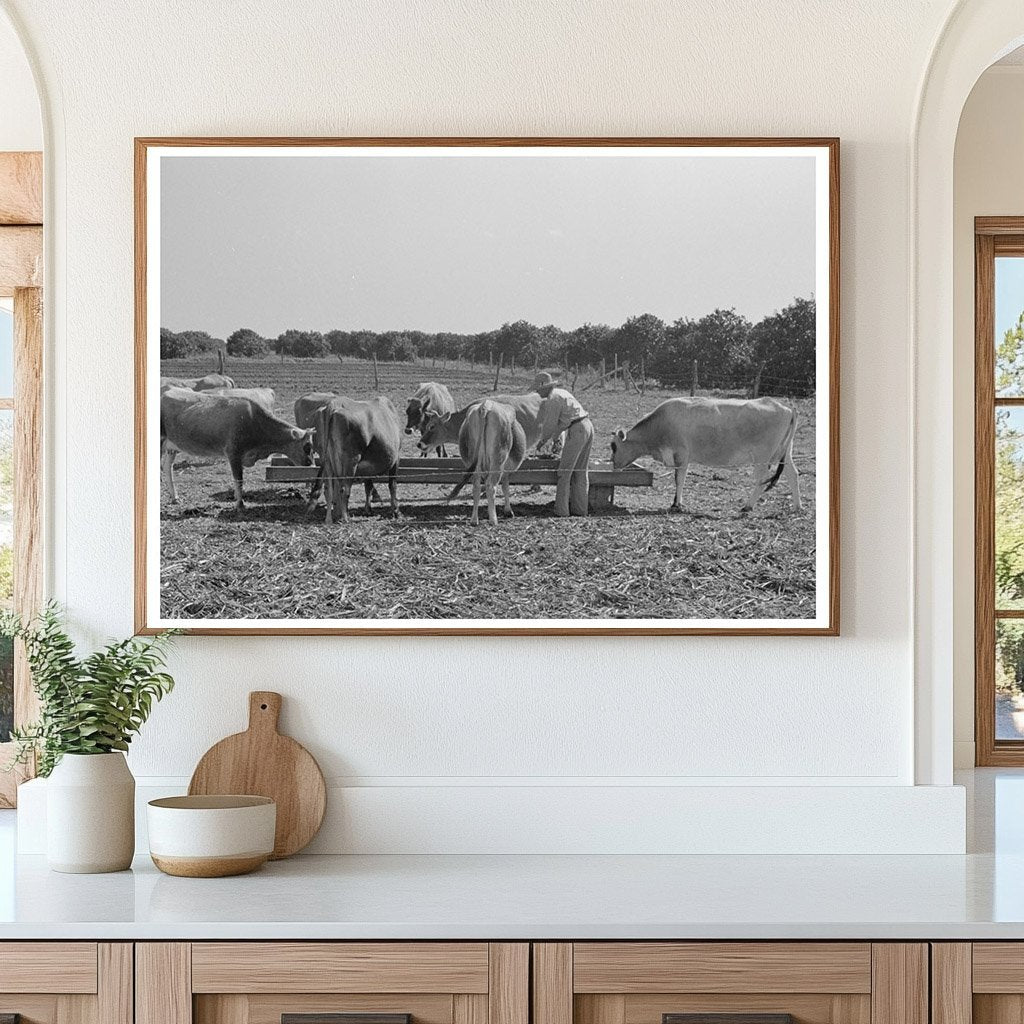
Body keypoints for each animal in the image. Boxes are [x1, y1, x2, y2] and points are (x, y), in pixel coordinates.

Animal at [157, 385, 311, 509]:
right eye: (306, 446)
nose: (310, 463)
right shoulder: (233, 453)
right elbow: (239, 479)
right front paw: (240, 504)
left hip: (172, 447)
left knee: (167, 467)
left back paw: (175, 498)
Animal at [317, 395, 401, 524]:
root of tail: (333, 405)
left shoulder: (368, 468)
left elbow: (368, 487)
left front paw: (368, 510)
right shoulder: (396, 460)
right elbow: (392, 485)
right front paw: (395, 511)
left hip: (327, 461)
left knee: (329, 490)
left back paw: (330, 518)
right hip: (351, 461)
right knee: (344, 489)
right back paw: (345, 518)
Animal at [450, 399, 528, 528]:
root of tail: (486, 405)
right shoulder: (506, 471)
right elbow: (505, 487)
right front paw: (508, 511)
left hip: (474, 462)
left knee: (476, 487)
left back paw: (474, 520)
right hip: (498, 460)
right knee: (491, 487)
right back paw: (493, 520)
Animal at [606, 397, 798, 516]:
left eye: (613, 446)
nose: (613, 464)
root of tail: (786, 408)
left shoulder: (682, 456)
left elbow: (679, 480)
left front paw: (677, 504)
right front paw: (676, 503)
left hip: (761, 457)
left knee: (761, 480)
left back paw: (747, 506)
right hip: (785, 452)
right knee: (793, 474)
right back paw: (798, 506)